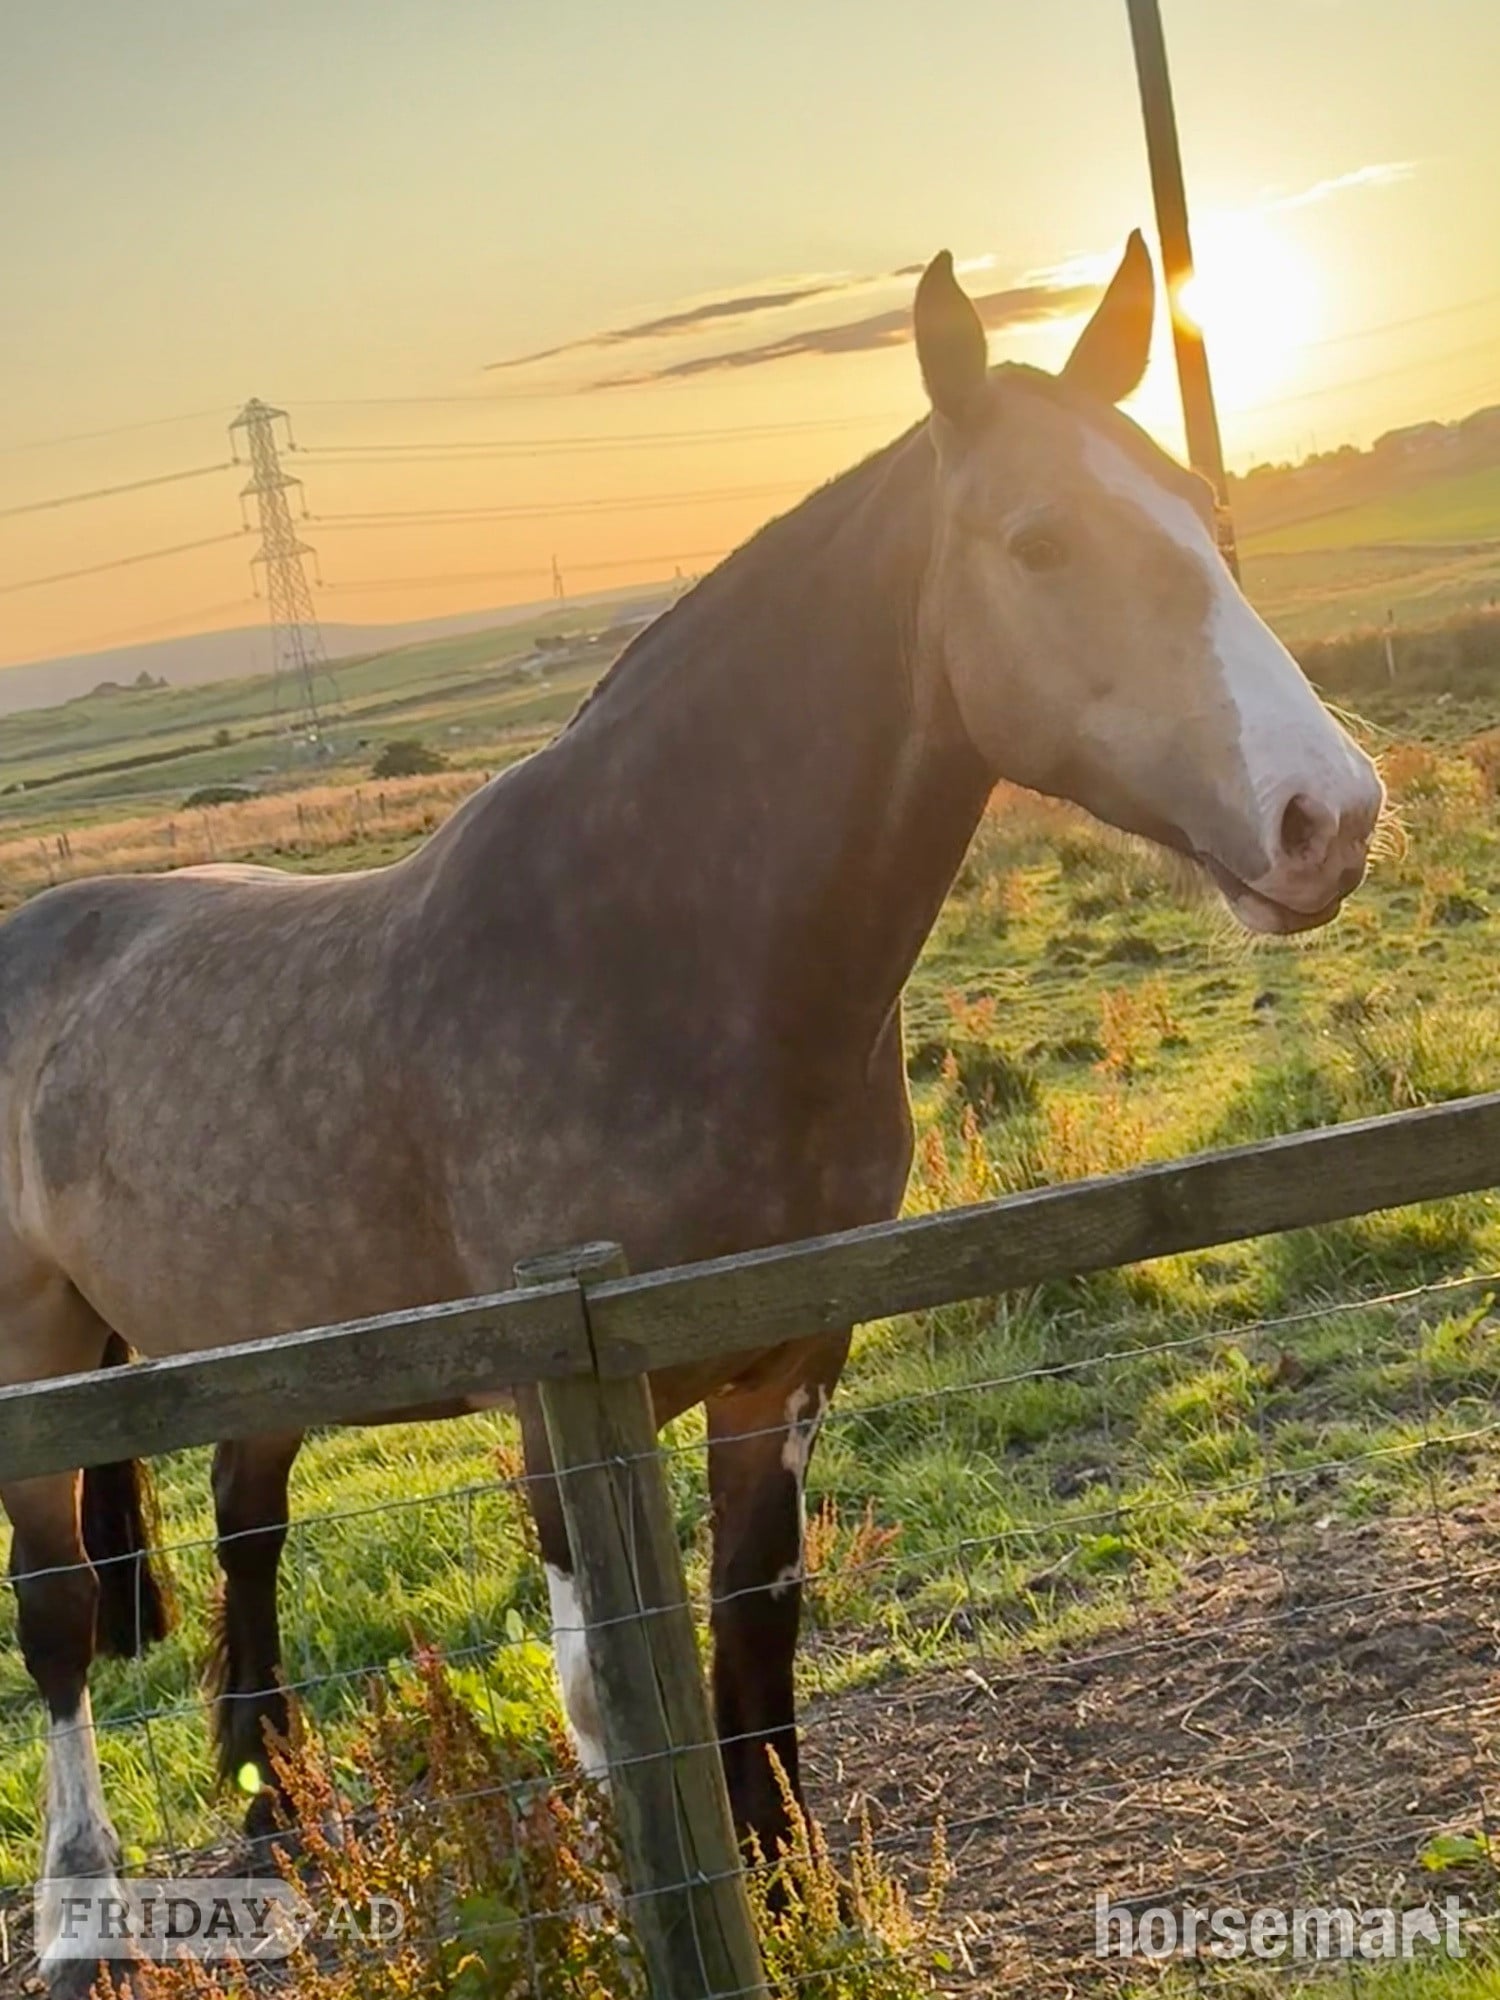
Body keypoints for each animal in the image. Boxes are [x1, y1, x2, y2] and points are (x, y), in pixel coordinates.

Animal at [0, 232, 1382, 1996]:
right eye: (1039, 539)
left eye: (1209, 514)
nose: (1328, 815)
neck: (658, 952)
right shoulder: (560, 1409)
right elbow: (615, 1698)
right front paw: (643, 1901)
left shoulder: (783, 1364)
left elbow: (753, 1635)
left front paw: (791, 1892)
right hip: (39, 1358)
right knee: (55, 1619)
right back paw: (81, 1910)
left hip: (251, 1339)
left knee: (248, 1535)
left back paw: (278, 1811)